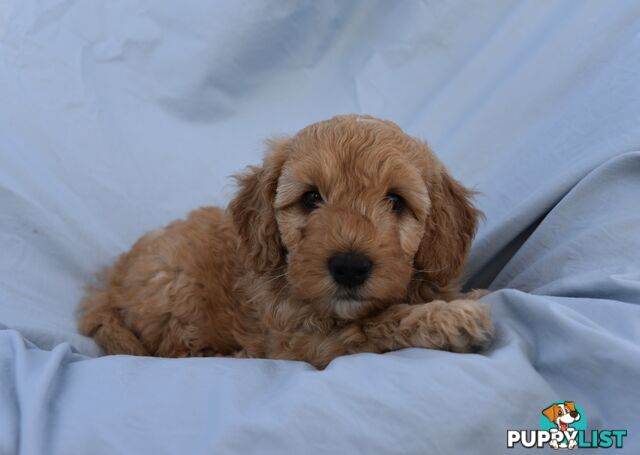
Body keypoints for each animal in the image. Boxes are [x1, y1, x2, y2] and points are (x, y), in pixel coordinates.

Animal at [77, 115, 492, 370]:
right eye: (311, 198)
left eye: (395, 201)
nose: (349, 267)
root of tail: (109, 283)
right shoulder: (304, 344)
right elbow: (372, 326)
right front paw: (449, 317)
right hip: (174, 286)